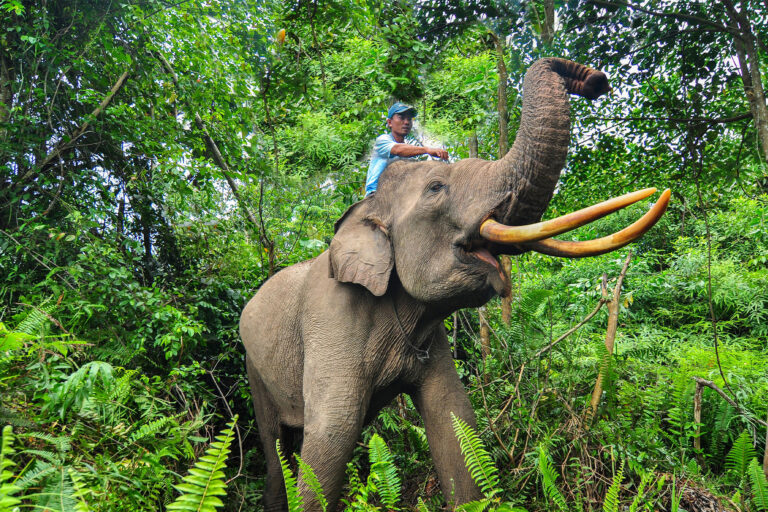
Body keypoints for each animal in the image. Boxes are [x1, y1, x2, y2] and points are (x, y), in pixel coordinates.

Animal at [240, 57, 670, 511]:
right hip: (254, 367)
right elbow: (331, 434)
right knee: (277, 446)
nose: (595, 80)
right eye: (435, 188)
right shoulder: (334, 319)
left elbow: (454, 416)